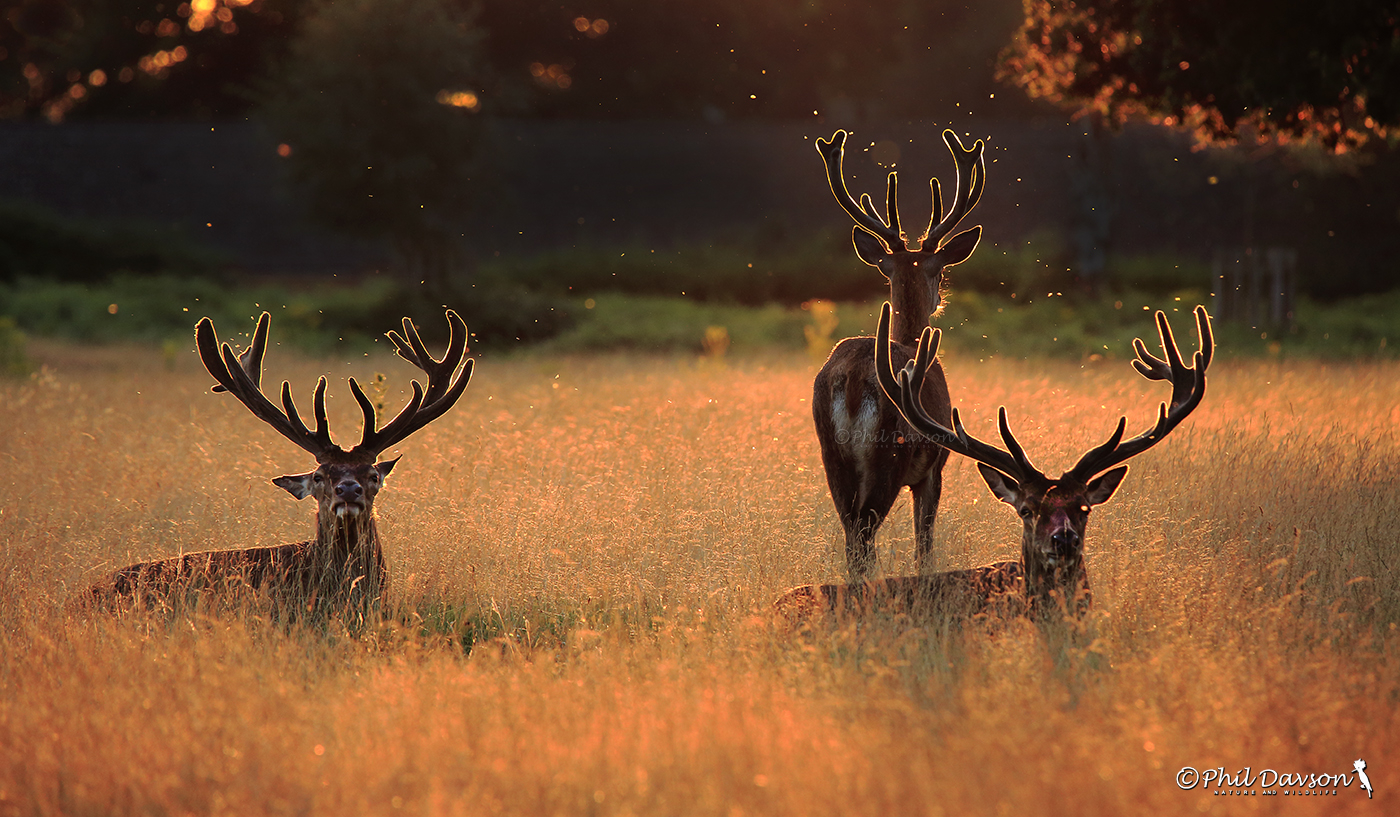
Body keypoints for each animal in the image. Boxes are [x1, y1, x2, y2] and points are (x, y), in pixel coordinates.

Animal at [810, 127, 986, 580]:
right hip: (889, 451)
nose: (940, 298)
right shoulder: (934, 467)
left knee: (850, 531)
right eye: (940, 270)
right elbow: (924, 544)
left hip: (831, 453)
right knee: (863, 534)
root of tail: (854, 379)